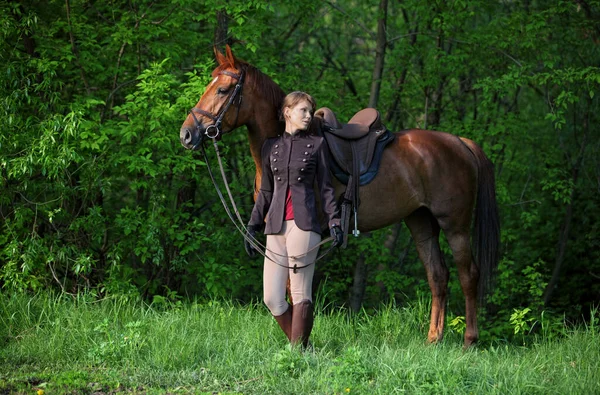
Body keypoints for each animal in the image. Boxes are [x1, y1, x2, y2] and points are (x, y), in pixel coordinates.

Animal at [179, 47, 502, 350]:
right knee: (437, 275)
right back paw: (433, 339)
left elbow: (295, 290)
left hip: (455, 225)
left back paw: (469, 340)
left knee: (468, 275)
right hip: (420, 222)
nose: (187, 134)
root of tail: (461, 143)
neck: (288, 143)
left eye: (222, 90)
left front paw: (300, 342)